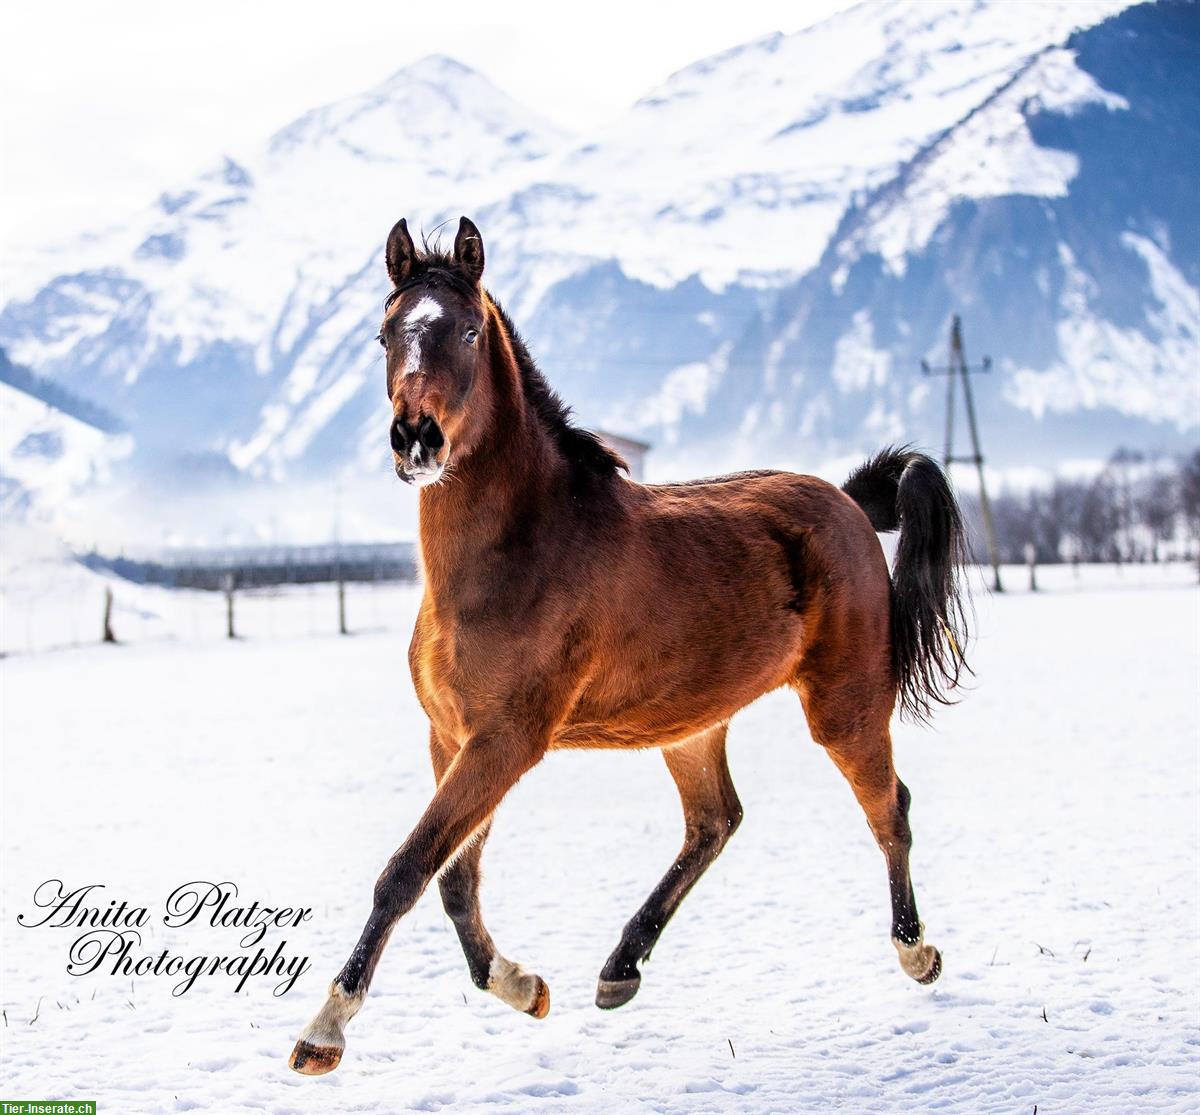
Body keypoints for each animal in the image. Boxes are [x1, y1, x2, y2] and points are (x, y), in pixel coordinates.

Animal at [288, 213, 964, 1075]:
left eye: (468, 330)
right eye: (384, 334)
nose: (417, 439)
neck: (520, 551)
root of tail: (848, 502)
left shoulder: (504, 741)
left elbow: (406, 869)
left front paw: (325, 1029)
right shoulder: (452, 737)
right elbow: (454, 879)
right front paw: (522, 985)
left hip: (845, 706)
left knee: (889, 809)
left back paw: (919, 953)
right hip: (692, 723)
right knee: (715, 822)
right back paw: (619, 967)